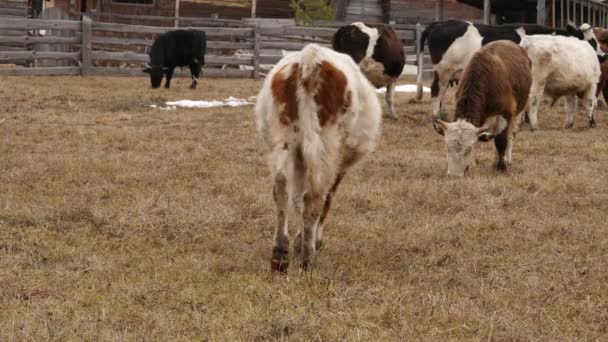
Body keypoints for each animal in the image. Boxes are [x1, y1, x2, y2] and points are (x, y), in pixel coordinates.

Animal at [255, 43, 380, 272]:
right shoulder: (340, 163)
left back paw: (280, 253)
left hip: (284, 138)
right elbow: (328, 197)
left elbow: (296, 198)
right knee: (315, 197)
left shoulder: (298, 158)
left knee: (282, 188)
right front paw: (312, 241)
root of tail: (310, 57)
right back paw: (308, 258)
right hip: (326, 146)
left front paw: (298, 240)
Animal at [414, 20, 604, 119]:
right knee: (436, 90)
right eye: (591, 40)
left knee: (441, 93)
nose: (603, 55)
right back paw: (436, 116)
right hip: (444, 70)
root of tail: (438, 23)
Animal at [432, 40, 532, 176]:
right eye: (447, 147)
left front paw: (501, 167)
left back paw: (507, 160)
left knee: (510, 135)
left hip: (519, 112)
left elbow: (501, 141)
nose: (454, 175)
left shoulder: (505, 113)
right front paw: (473, 164)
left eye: (468, 149)